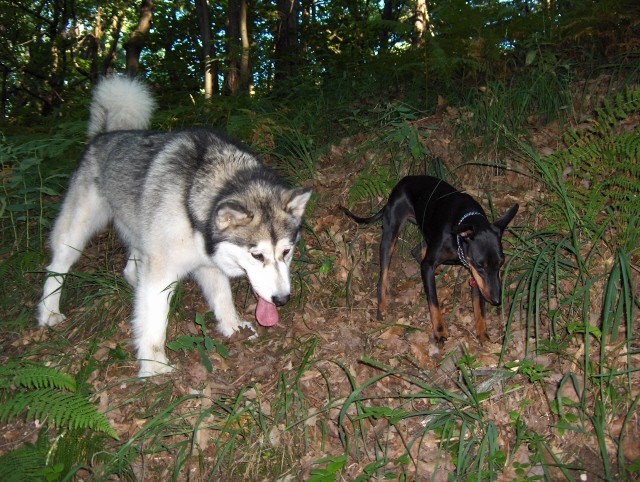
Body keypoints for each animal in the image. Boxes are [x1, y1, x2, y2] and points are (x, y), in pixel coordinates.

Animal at [37, 76, 312, 376]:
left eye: (286, 252)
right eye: (257, 255)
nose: (282, 299)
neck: (193, 197)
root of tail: (104, 134)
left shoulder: (206, 262)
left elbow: (222, 297)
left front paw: (233, 327)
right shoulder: (164, 269)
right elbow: (156, 320)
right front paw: (154, 364)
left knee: (131, 270)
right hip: (77, 232)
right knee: (57, 267)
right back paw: (49, 312)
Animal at [342, 175, 516, 344]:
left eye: (501, 263)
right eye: (480, 266)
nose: (496, 301)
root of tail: (401, 183)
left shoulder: (475, 276)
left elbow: (480, 307)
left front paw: (483, 335)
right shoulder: (431, 265)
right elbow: (433, 301)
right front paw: (440, 331)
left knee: (415, 251)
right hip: (391, 233)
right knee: (383, 274)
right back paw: (382, 306)